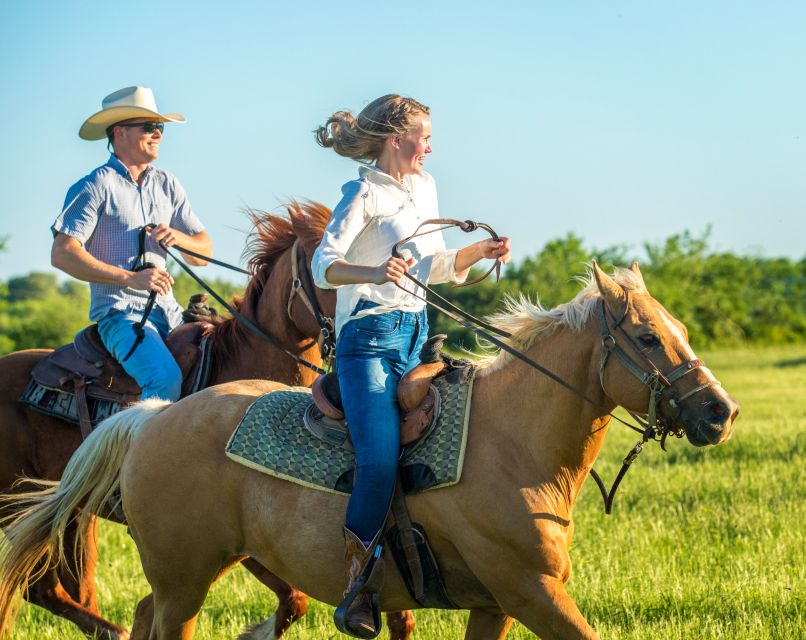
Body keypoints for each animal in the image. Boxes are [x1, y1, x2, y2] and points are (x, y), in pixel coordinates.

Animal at [0, 262, 740, 640]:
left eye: (676, 326)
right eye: (646, 336)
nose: (721, 411)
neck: (508, 442)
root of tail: (153, 417)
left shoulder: (494, 605)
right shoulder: (531, 591)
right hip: (184, 579)